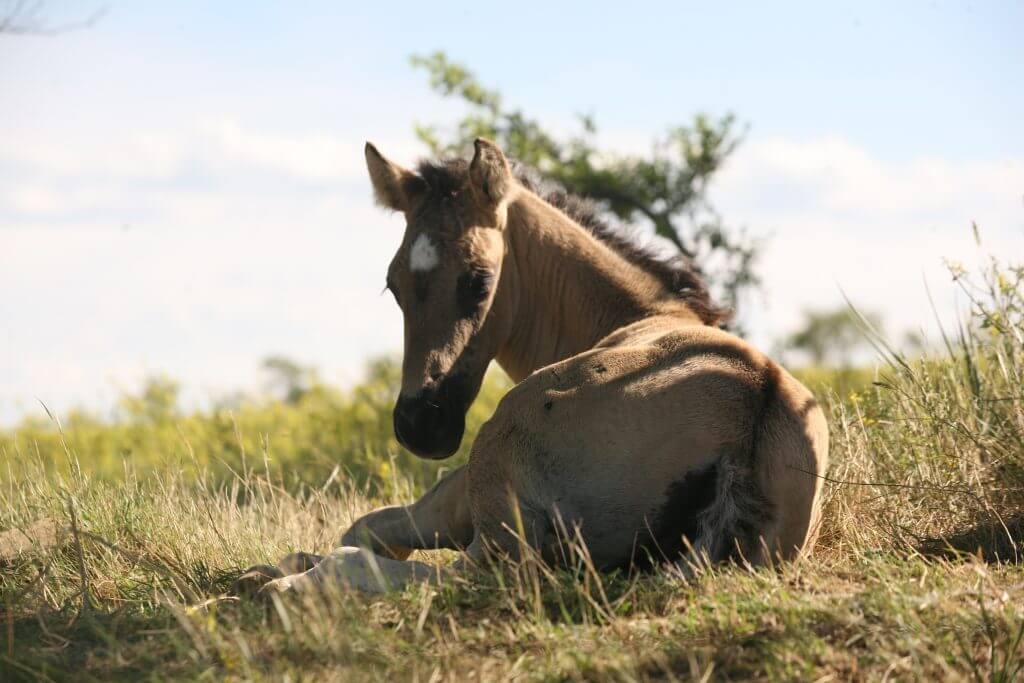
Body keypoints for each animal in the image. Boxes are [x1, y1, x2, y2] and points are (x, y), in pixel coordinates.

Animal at [239, 138, 829, 596]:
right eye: (394, 284)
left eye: (478, 281)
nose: (420, 425)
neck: (646, 314)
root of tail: (749, 416)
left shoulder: (458, 494)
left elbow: (364, 528)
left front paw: (282, 568)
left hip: (497, 469)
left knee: (458, 576)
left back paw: (286, 586)